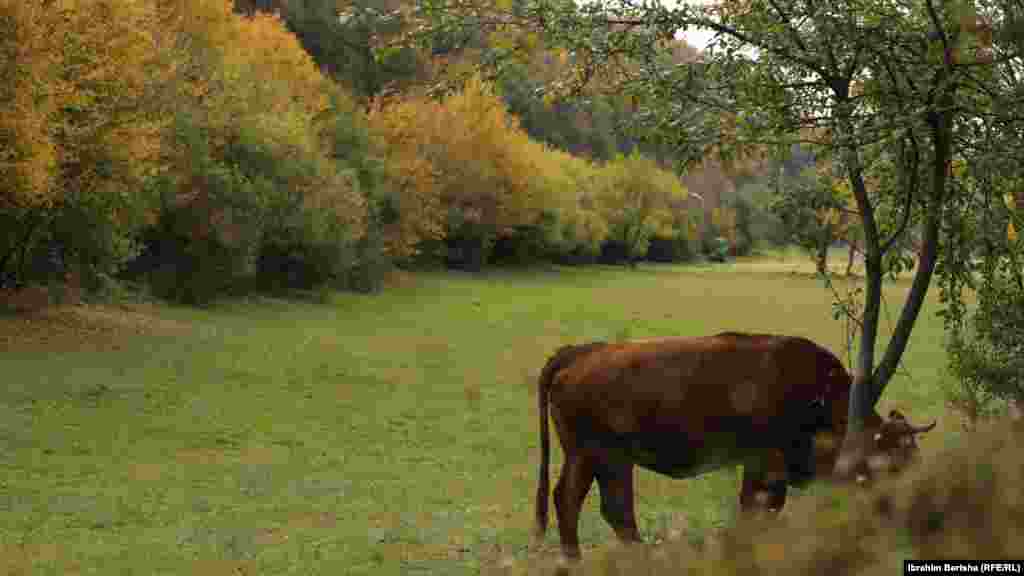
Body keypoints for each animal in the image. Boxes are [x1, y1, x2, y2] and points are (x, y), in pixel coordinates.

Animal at [536, 332, 937, 561]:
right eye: (898, 459)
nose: (922, 507)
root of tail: (580, 352)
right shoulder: (766, 464)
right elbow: (758, 507)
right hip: (608, 458)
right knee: (611, 508)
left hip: (587, 458)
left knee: (572, 500)